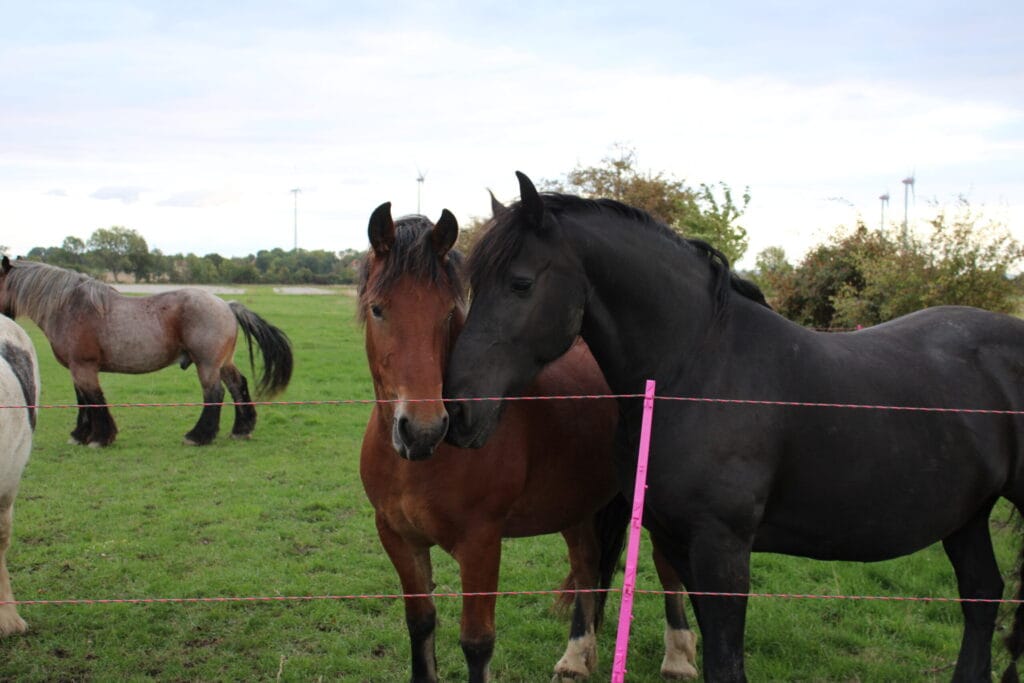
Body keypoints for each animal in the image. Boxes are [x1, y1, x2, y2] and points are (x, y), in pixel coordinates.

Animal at [0, 256, 293, 447]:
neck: (71, 307)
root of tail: (227, 305)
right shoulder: (76, 369)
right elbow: (83, 400)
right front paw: (80, 435)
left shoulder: (84, 367)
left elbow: (95, 399)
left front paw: (100, 438)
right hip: (223, 363)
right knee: (237, 385)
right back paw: (241, 430)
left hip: (207, 364)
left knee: (215, 394)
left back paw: (198, 436)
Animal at [358, 203, 698, 682]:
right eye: (378, 309)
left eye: (446, 313)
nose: (423, 429)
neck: (419, 464)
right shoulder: (398, 539)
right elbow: (420, 624)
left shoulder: (481, 544)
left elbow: (477, 642)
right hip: (575, 504)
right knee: (586, 564)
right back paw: (575, 658)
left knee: (667, 571)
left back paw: (679, 657)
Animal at [444, 170, 1024, 682]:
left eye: (520, 283)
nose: (458, 409)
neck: (699, 368)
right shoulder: (680, 542)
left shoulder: (722, 551)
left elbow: (726, 663)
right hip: (967, 516)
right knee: (982, 594)